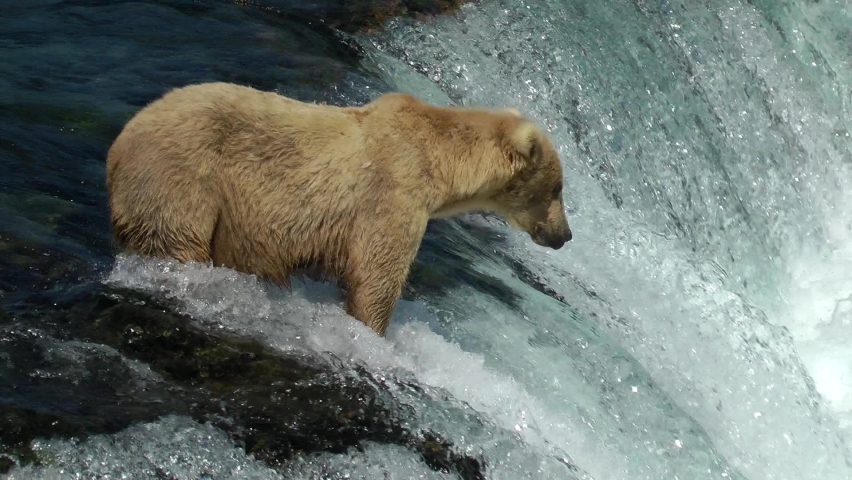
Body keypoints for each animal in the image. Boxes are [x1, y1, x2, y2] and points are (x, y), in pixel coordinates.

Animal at [106, 82, 572, 336]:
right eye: (558, 188)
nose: (565, 236)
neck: (439, 166)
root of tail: (118, 144)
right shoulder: (391, 194)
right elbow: (377, 278)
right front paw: (374, 332)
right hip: (181, 180)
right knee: (177, 240)